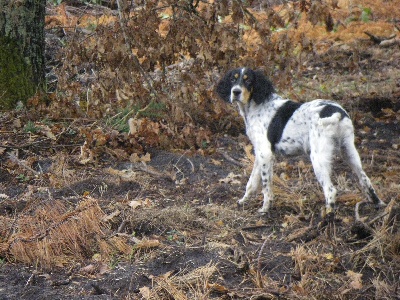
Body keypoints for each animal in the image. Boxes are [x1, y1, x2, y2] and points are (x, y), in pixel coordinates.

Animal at [217, 67, 386, 214]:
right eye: (233, 79)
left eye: (248, 80)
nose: (236, 92)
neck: (257, 105)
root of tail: (337, 112)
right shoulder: (260, 153)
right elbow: (252, 182)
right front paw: (243, 200)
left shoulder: (265, 153)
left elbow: (266, 186)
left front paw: (265, 208)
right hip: (349, 151)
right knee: (365, 179)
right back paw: (378, 204)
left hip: (318, 158)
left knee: (330, 190)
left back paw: (327, 216)